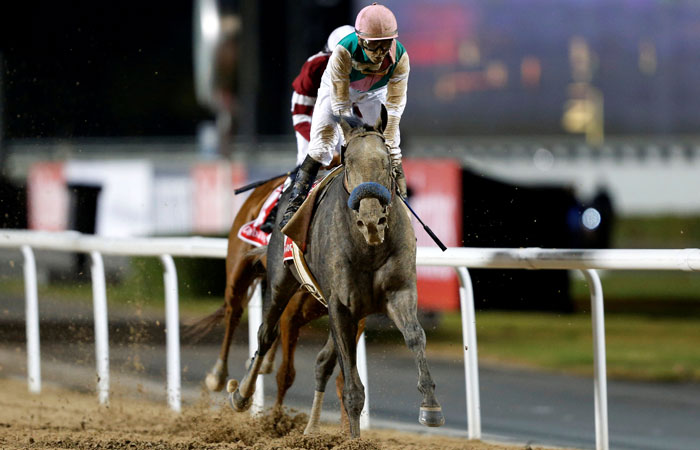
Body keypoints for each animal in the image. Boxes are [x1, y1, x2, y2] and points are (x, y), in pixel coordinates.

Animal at [228, 110, 442, 438]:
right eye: (349, 163)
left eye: (387, 162)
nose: (372, 220)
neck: (368, 247)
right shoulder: (341, 306)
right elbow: (351, 386)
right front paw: (353, 438)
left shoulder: (397, 295)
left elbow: (415, 336)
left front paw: (430, 404)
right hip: (281, 282)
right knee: (266, 334)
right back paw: (241, 395)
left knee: (321, 361)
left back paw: (310, 426)